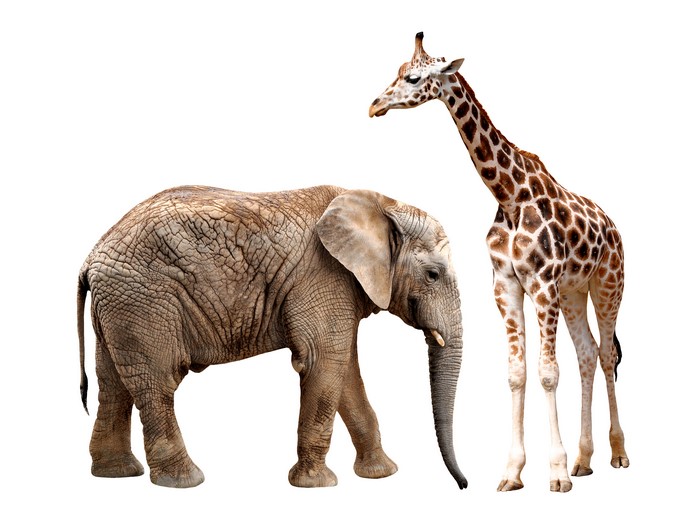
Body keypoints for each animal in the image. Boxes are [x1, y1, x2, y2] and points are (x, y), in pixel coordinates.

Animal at [77, 184, 468, 489]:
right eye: (433, 275)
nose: (463, 485)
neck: (383, 205)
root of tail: (91, 256)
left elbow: (345, 372)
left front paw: (381, 475)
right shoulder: (323, 276)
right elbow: (323, 362)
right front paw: (317, 485)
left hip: (119, 306)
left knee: (112, 384)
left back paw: (116, 474)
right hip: (144, 301)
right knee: (158, 382)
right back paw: (185, 481)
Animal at [369, 33, 628, 492]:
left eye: (413, 77)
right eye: (398, 71)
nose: (375, 105)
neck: (508, 195)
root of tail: (613, 227)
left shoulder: (542, 283)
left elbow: (547, 372)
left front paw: (556, 474)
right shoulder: (506, 284)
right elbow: (517, 373)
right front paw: (513, 472)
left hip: (608, 285)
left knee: (607, 355)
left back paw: (617, 454)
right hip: (574, 293)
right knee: (587, 354)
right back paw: (585, 460)